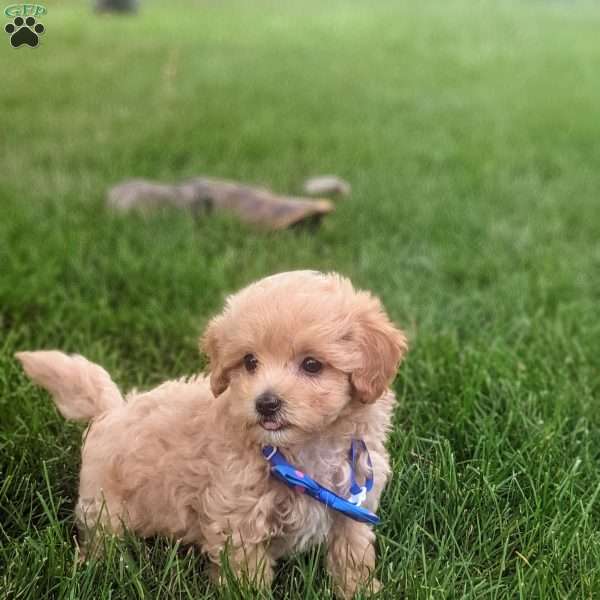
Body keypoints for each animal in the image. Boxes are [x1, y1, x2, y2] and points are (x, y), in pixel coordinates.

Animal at [16, 274, 408, 600]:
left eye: (312, 365)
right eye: (249, 361)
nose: (266, 404)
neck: (301, 450)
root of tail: (112, 409)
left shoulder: (353, 506)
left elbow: (352, 556)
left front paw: (361, 591)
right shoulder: (240, 518)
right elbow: (247, 574)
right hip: (105, 507)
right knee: (101, 542)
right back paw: (94, 569)